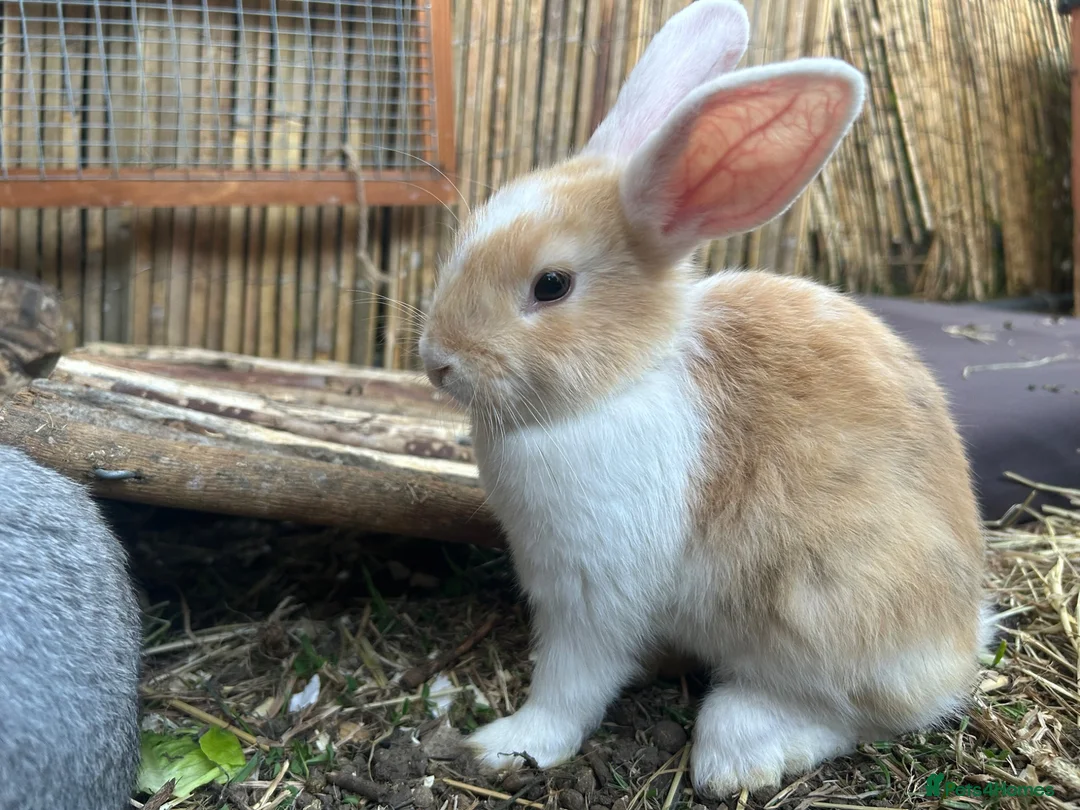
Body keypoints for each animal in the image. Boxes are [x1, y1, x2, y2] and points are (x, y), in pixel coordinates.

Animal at [417, 0, 991, 799]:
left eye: (552, 285)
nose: (437, 362)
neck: (624, 379)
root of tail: (965, 635)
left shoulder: (592, 595)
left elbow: (570, 685)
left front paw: (506, 746)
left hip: (822, 608)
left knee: (859, 713)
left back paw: (740, 748)